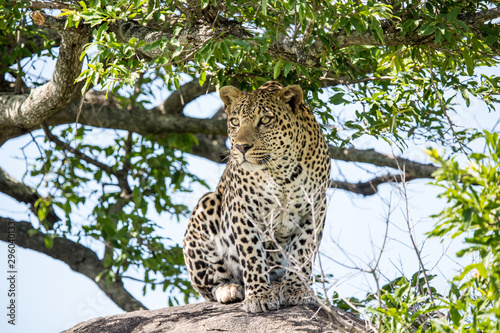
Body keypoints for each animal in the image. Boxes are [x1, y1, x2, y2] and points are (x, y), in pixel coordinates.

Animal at [182, 80, 330, 312]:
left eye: (266, 120)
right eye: (235, 122)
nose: (241, 147)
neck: (281, 172)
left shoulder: (315, 209)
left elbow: (302, 252)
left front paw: (296, 289)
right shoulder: (243, 210)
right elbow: (251, 253)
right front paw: (259, 296)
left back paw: (278, 285)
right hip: (207, 205)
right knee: (210, 286)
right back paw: (229, 289)